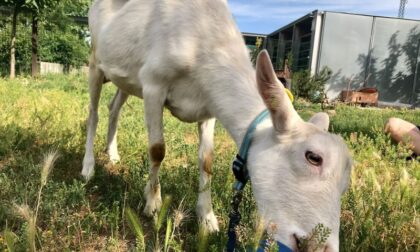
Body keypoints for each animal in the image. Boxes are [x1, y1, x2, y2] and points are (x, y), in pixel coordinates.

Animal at [82, 0, 352, 250]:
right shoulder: (153, 85)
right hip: (95, 60)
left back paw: (113, 155)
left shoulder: (209, 107)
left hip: (125, 79)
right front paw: (153, 204)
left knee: (114, 107)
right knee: (93, 113)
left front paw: (208, 219)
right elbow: (158, 149)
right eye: (313, 157)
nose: (321, 246)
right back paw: (88, 168)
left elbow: (206, 160)